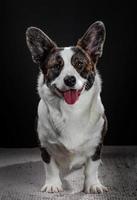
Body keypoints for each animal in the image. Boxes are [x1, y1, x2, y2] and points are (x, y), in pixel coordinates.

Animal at [25, 20, 107, 194]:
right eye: (56, 66)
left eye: (79, 64)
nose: (70, 80)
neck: (71, 110)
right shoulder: (45, 146)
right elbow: (50, 168)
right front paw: (52, 185)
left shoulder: (96, 144)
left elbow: (92, 167)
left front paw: (93, 185)